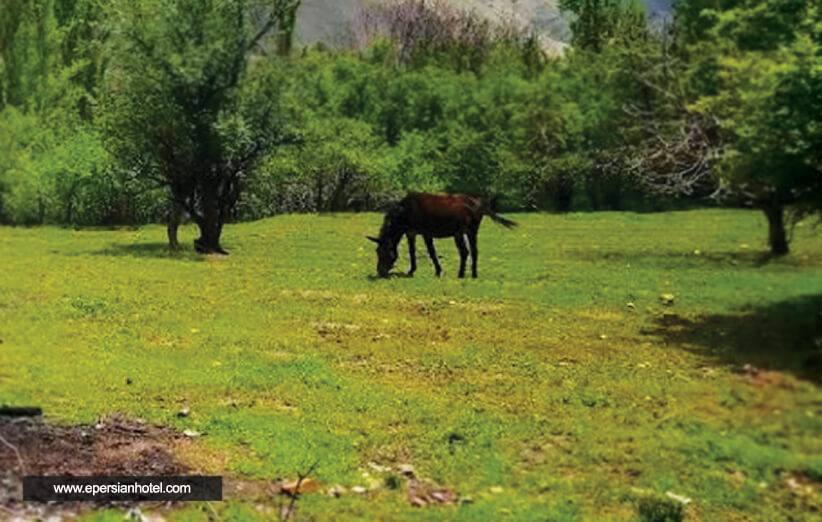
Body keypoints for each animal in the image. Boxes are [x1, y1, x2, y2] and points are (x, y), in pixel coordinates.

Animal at [370, 191, 520, 278]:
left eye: (385, 252)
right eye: (377, 251)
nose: (380, 272)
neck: (405, 211)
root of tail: (479, 203)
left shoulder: (426, 233)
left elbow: (431, 252)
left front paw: (438, 271)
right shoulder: (411, 233)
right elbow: (412, 252)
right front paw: (411, 270)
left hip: (466, 231)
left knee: (468, 252)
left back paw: (465, 274)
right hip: (464, 233)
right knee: (470, 251)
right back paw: (469, 274)